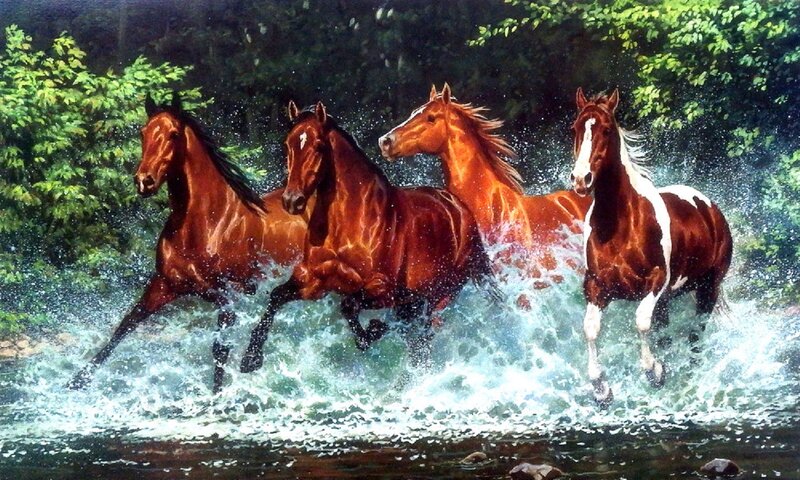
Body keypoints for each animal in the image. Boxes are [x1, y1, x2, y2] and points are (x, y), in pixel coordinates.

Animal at [68, 93, 309, 393]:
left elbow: (219, 350)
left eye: (173, 135)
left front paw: (216, 397)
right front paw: (78, 380)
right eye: (143, 132)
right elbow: (125, 326)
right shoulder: (164, 285)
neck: (209, 225)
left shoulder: (228, 297)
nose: (144, 181)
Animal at [239, 101, 498, 374]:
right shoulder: (313, 280)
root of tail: (459, 208)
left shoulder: (382, 288)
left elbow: (349, 306)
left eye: (319, 146)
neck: (348, 223)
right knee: (417, 342)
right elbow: (276, 296)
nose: (292, 201)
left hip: (438, 295)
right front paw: (250, 359)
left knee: (421, 336)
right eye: (288, 144)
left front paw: (373, 330)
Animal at [570, 88, 733, 405]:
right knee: (668, 334)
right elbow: (591, 329)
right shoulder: (597, 287)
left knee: (696, 335)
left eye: (606, 130)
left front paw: (654, 372)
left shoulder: (655, 284)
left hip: (708, 289)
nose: (581, 179)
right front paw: (601, 389)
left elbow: (641, 323)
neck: (619, 226)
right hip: (671, 300)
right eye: (575, 128)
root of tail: (711, 208)